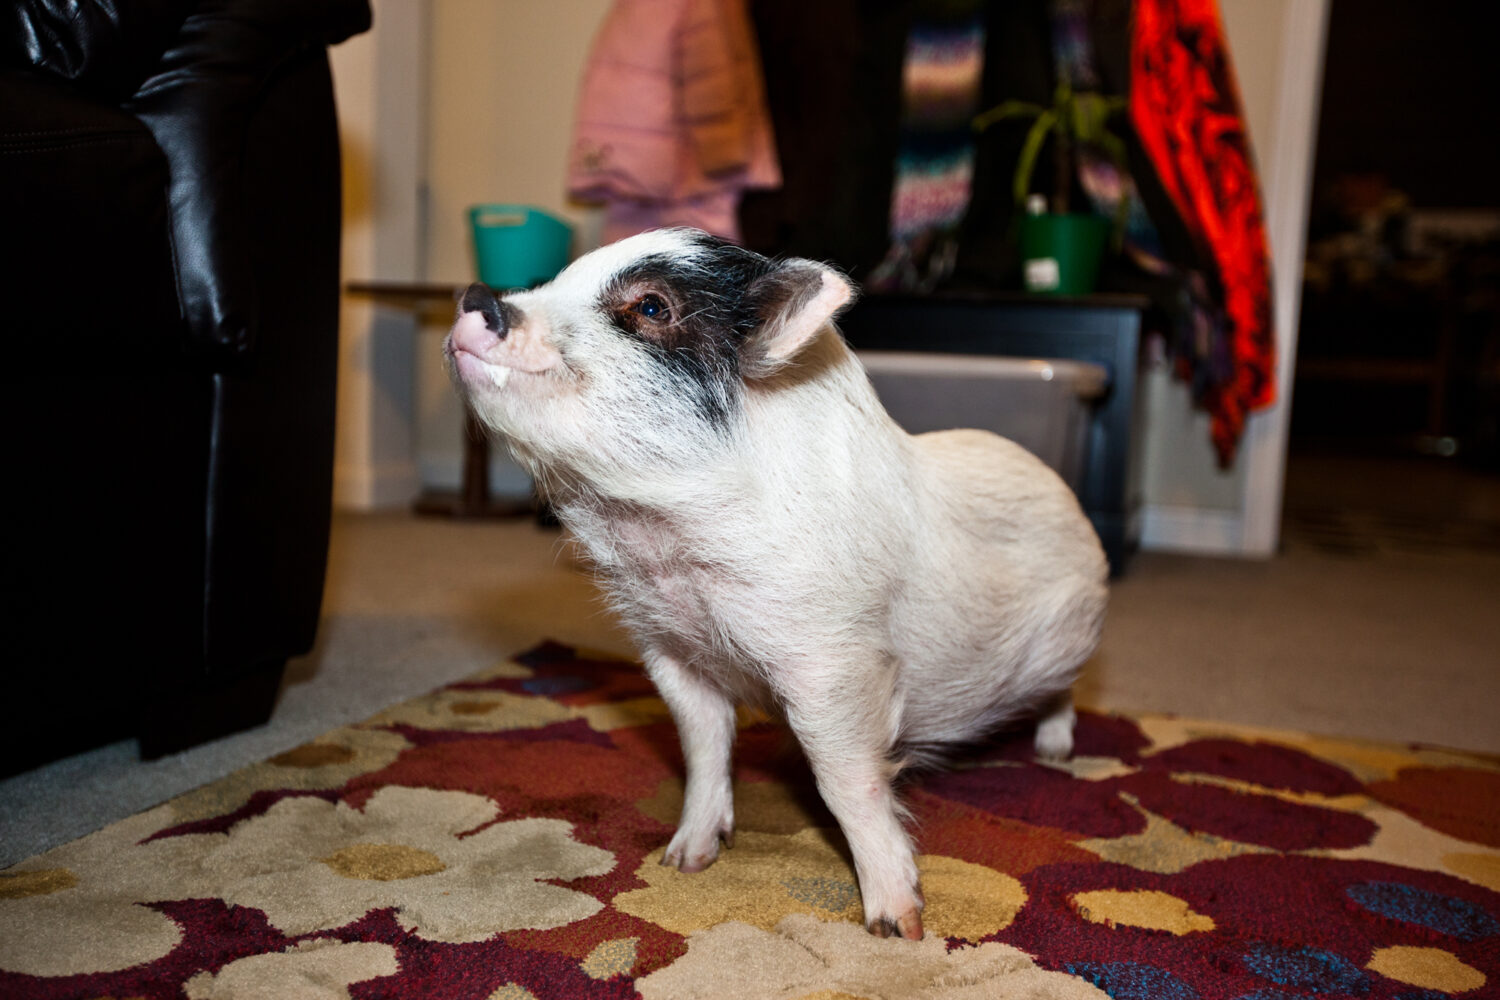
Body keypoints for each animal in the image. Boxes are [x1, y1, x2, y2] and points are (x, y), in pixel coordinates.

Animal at [438, 226, 1110, 941]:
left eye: (650, 307)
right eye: (560, 277)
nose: (478, 297)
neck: (671, 557)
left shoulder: (834, 657)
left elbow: (846, 781)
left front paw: (897, 927)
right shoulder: (670, 648)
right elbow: (702, 745)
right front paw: (684, 862)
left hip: (1074, 637)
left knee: (1065, 692)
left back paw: (1056, 753)